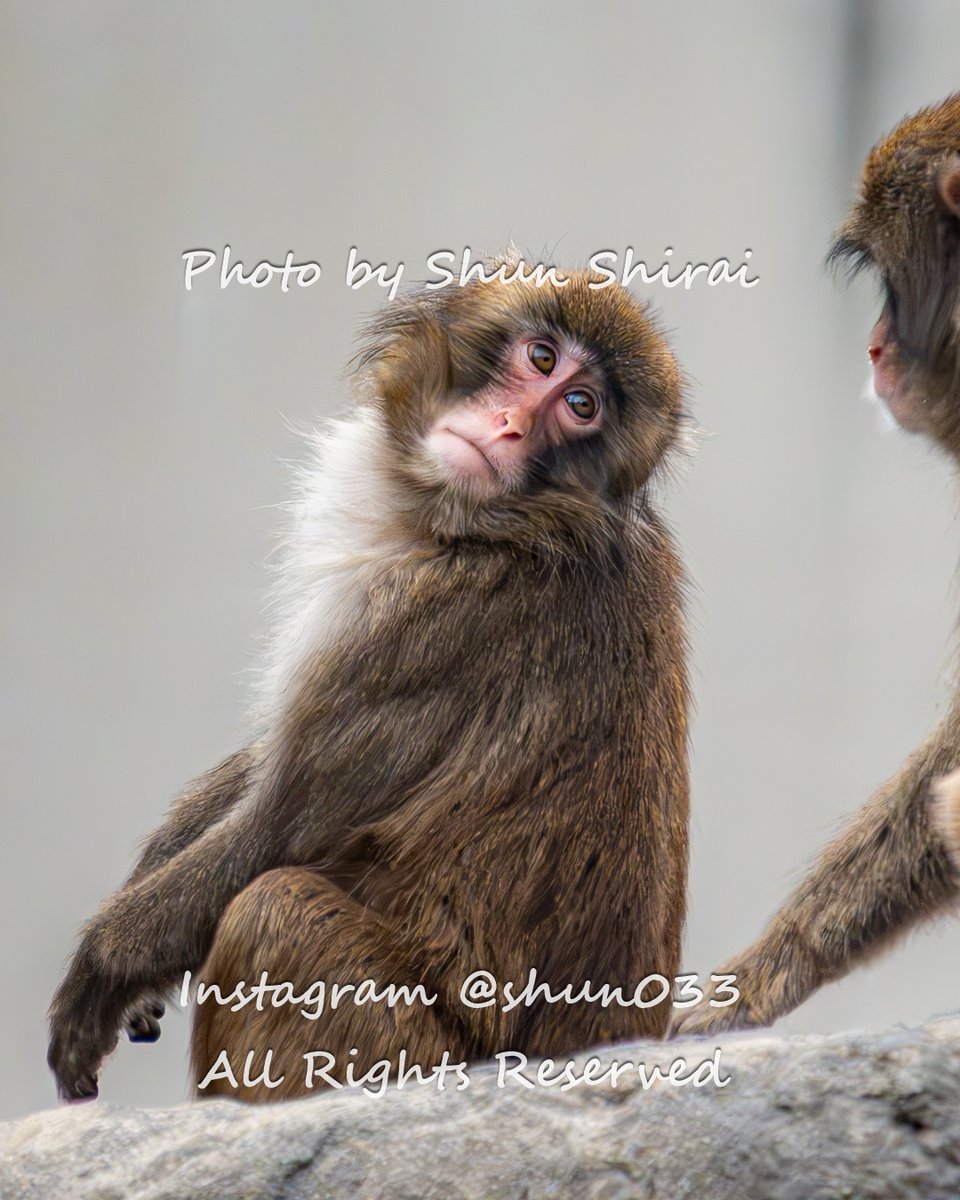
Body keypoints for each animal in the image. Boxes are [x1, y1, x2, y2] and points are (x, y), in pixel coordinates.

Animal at [48, 259, 692, 1103]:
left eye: (580, 409)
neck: (500, 529)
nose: (511, 424)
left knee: (275, 911)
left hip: (408, 1053)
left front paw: (104, 966)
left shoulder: (433, 625)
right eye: (543, 359)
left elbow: (277, 831)